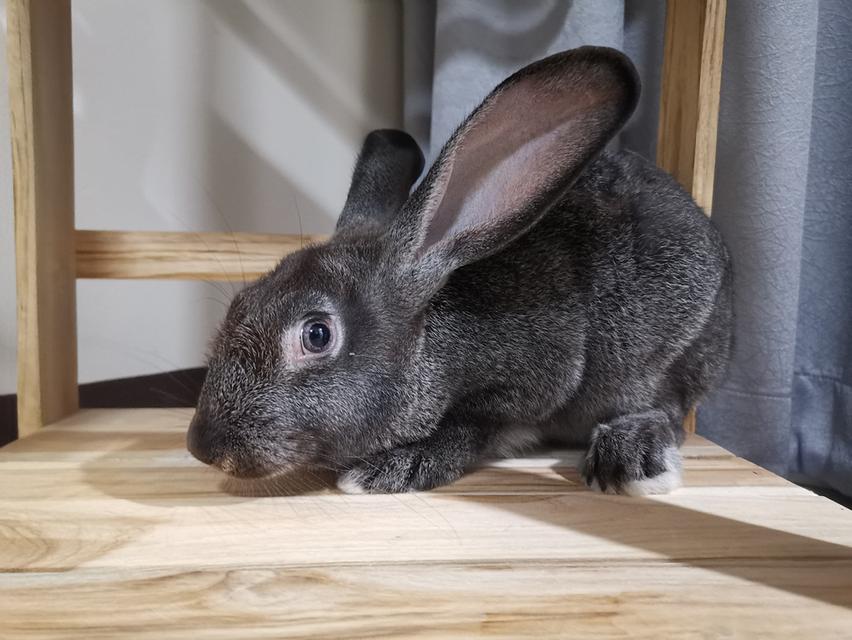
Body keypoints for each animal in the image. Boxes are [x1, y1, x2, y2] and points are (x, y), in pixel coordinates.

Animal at [186, 47, 732, 498]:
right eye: (240, 304)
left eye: (317, 334)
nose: (203, 446)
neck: (431, 342)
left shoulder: (531, 381)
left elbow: (472, 429)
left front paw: (395, 467)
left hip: (663, 355)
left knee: (668, 409)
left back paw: (632, 457)